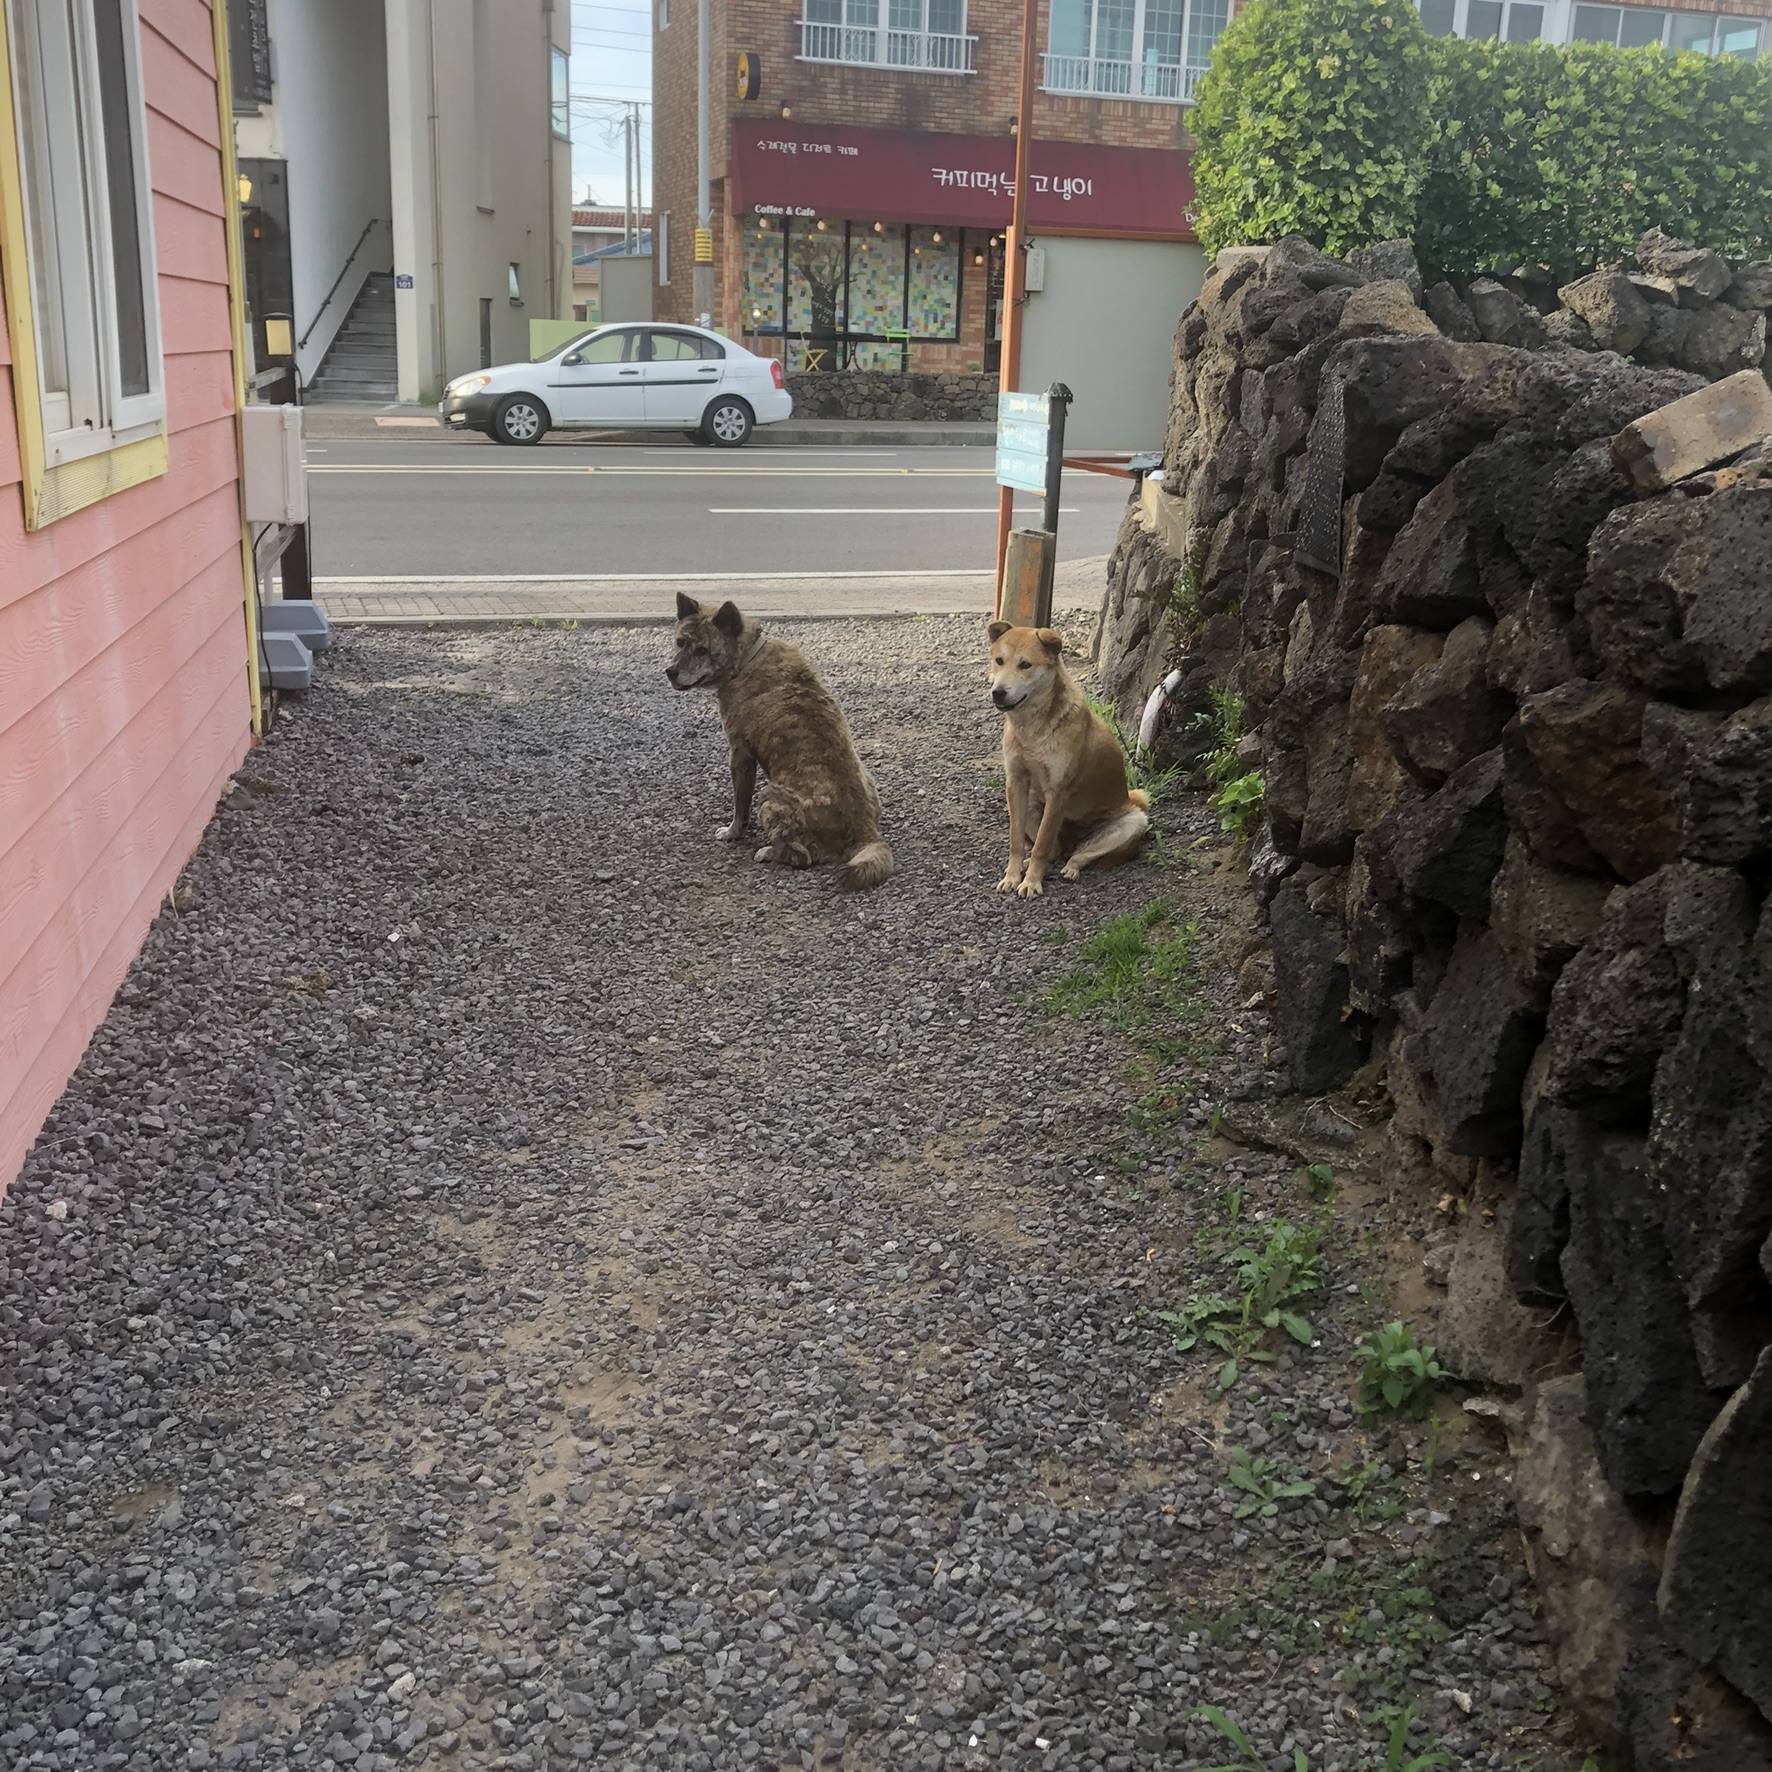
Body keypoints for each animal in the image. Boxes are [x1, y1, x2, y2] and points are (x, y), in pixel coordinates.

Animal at [666, 598, 893, 886]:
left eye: (702, 650)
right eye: (680, 642)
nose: (670, 672)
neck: (747, 659)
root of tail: (864, 829)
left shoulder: (740, 755)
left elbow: (740, 807)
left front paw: (733, 832)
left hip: (769, 797)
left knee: (801, 857)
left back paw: (768, 852)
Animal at [992, 623, 1155, 900]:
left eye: (1025, 665)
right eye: (999, 661)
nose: (998, 692)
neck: (1032, 731)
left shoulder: (1057, 791)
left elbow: (1041, 845)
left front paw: (1032, 882)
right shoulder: (1016, 782)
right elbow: (1016, 840)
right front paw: (1012, 877)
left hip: (1133, 822)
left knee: (1077, 855)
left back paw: (1070, 868)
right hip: (1033, 804)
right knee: (1055, 850)